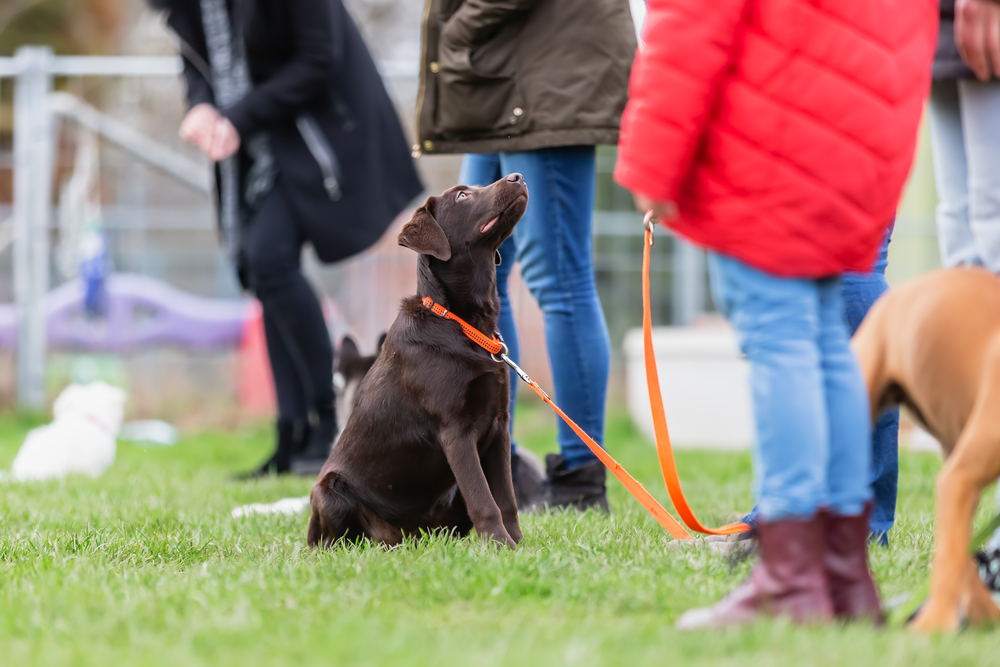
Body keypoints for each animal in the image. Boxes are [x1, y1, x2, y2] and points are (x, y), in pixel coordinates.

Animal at [310, 175, 532, 552]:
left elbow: (507, 499)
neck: (464, 323)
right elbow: (484, 499)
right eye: (462, 195)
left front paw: (518, 547)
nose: (517, 177)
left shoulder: (500, 425)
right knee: (331, 540)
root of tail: (404, 539)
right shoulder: (455, 430)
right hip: (328, 490)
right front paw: (500, 547)